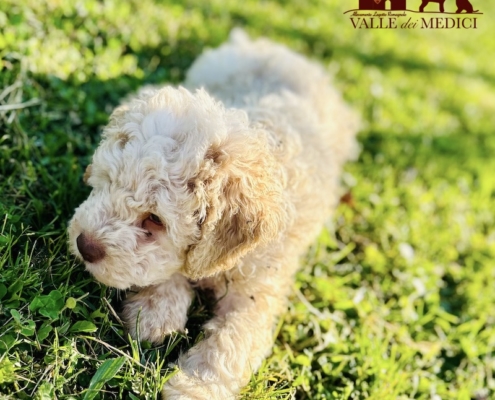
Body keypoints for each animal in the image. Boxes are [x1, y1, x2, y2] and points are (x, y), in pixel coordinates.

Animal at [68, 29, 358, 398]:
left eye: (155, 220)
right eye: (106, 182)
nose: (84, 244)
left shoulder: (259, 291)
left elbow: (233, 338)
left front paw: (195, 386)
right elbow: (171, 270)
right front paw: (155, 312)